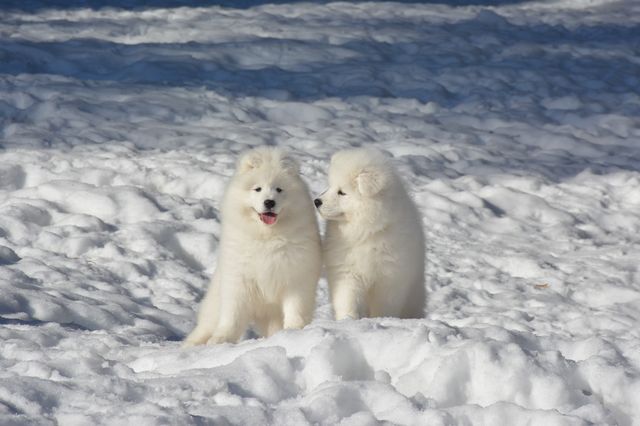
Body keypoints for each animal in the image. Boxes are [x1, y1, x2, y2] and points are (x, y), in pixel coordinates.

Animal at [184, 146, 324, 346]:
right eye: (257, 189)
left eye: (279, 189)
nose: (269, 202)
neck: (267, 237)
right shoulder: (239, 279)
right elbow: (232, 315)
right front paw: (221, 340)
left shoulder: (296, 278)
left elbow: (295, 309)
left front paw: (294, 331)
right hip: (214, 305)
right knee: (205, 327)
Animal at [316, 148, 424, 318]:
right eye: (330, 186)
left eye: (341, 192)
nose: (316, 201)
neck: (367, 231)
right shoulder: (347, 271)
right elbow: (347, 299)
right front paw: (348, 319)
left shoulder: (389, 278)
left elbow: (384, 307)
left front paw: (383, 319)